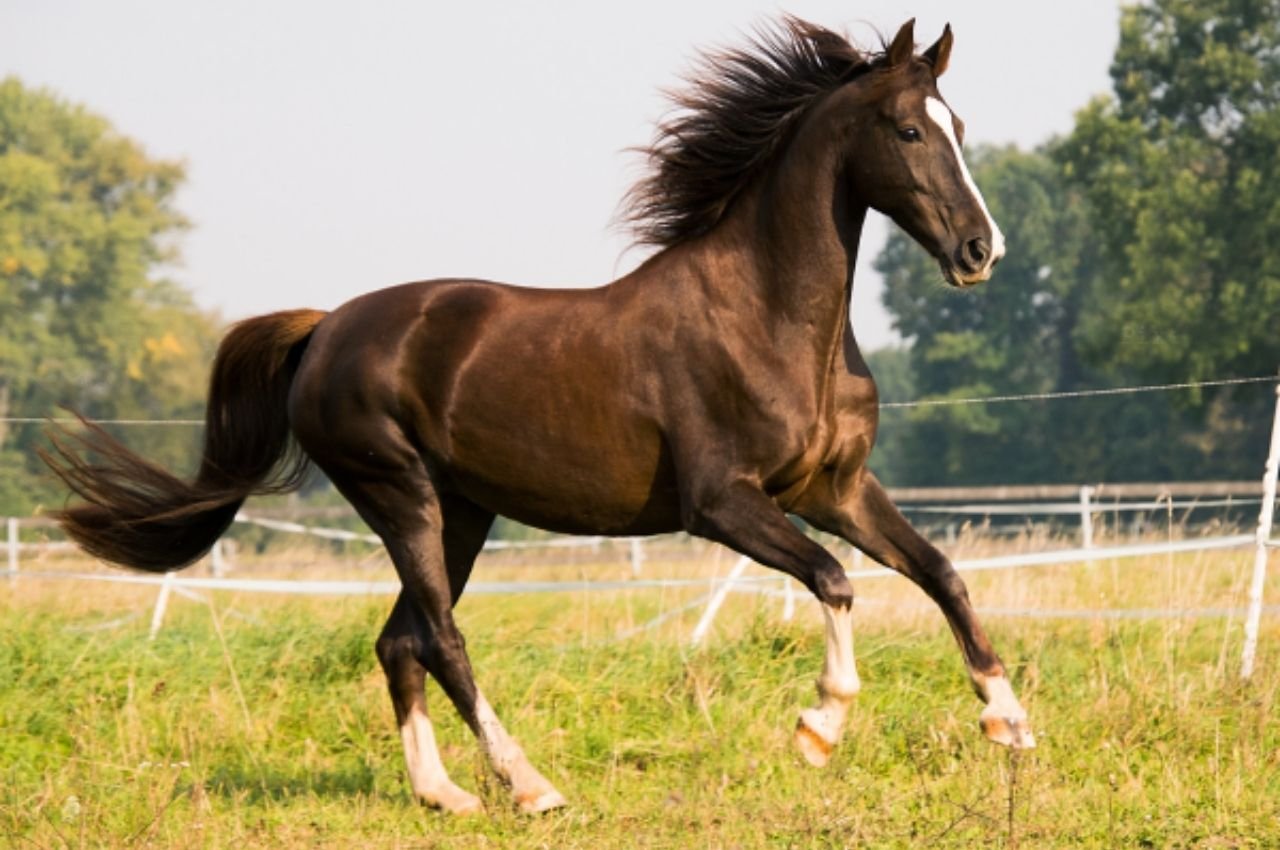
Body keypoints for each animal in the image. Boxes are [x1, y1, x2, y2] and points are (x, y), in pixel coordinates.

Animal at [44, 17, 1033, 815]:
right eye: (908, 129)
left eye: (958, 127)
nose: (980, 251)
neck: (769, 319)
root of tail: (325, 328)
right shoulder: (723, 504)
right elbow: (834, 580)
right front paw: (819, 728)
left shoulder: (835, 489)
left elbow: (940, 572)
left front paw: (1009, 720)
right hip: (399, 494)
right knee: (440, 638)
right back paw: (530, 786)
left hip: (462, 512)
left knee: (398, 641)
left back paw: (444, 795)